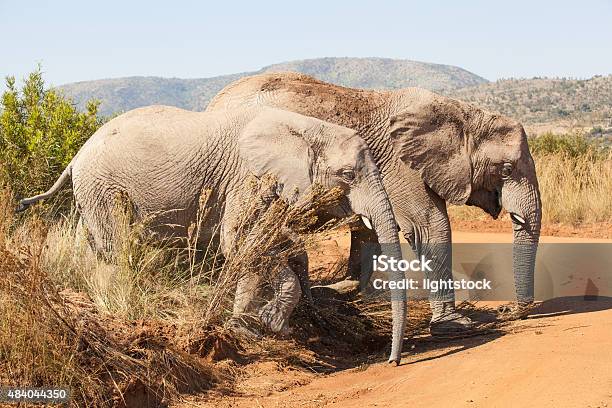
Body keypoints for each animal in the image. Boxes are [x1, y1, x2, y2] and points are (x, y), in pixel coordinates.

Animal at [19, 104, 408, 364]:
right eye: (348, 175)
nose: (392, 362)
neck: (307, 127)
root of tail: (76, 155)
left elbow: (272, 243)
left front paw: (257, 325)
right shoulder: (245, 179)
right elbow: (239, 242)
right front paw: (260, 325)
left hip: (92, 194)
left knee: (95, 246)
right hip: (103, 188)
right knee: (115, 248)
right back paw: (113, 304)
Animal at [208, 72, 544, 332]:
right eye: (506, 169)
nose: (507, 311)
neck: (462, 112)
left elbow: (370, 229)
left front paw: (357, 293)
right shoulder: (400, 165)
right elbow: (430, 227)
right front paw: (455, 325)